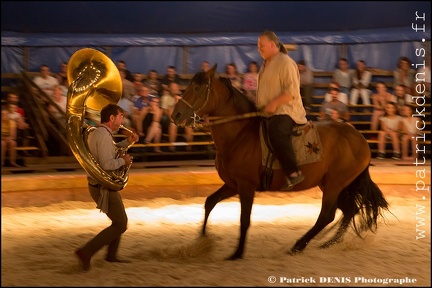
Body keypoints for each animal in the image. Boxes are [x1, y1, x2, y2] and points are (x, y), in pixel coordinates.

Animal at [170, 65, 390, 260]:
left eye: (197, 88)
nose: (176, 115)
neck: (240, 134)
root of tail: (359, 138)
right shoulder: (233, 184)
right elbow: (210, 202)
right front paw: (202, 240)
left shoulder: (246, 186)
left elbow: (244, 219)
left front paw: (237, 253)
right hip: (336, 185)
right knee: (348, 211)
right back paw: (326, 244)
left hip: (335, 184)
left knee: (326, 216)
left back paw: (299, 245)